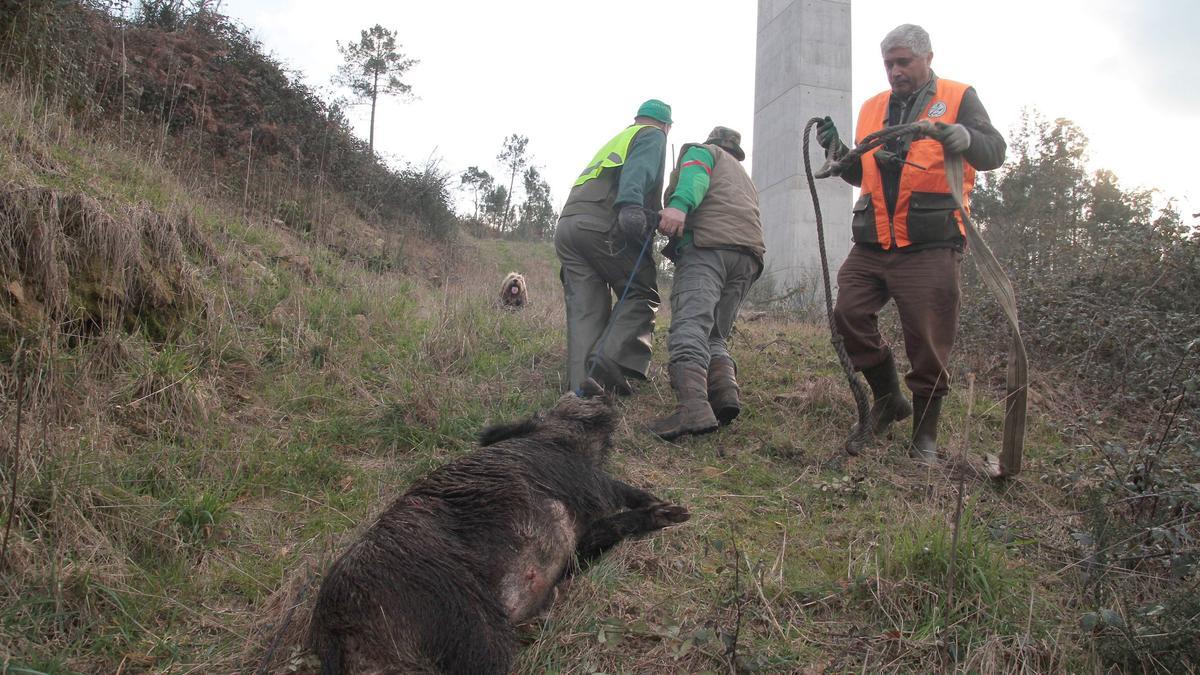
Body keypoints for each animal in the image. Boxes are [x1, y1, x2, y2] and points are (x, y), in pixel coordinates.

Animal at [307, 381, 686, 667]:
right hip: (468, 622)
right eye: (547, 410)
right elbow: (623, 490)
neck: (559, 442)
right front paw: (679, 511)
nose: (588, 383)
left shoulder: (574, 545)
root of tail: (334, 624)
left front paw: (672, 514)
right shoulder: (585, 480)